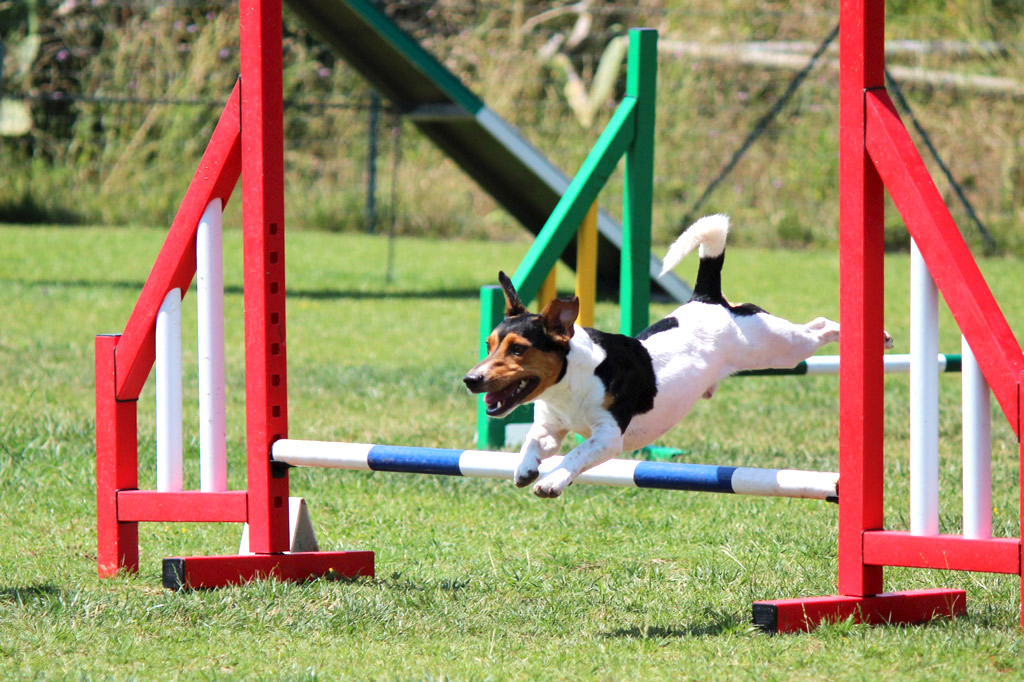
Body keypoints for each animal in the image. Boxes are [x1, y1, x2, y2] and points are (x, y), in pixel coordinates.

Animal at [464, 215, 888, 497]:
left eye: (518, 349)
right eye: (488, 345)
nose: (471, 379)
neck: (572, 381)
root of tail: (708, 298)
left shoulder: (608, 438)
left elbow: (575, 455)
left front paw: (552, 480)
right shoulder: (551, 427)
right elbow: (532, 442)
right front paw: (525, 468)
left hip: (779, 346)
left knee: (817, 326)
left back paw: (873, 335)